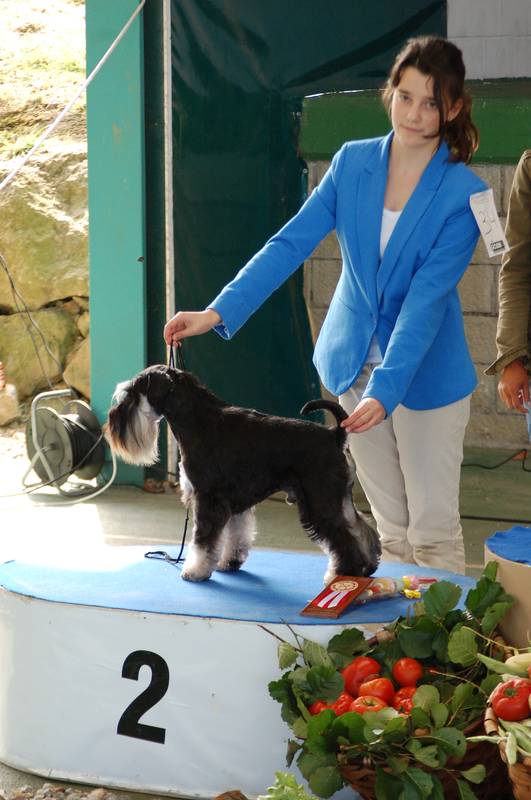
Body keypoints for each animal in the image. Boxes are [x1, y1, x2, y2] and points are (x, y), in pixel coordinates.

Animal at [105, 365, 381, 583]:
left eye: (132, 395)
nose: (110, 424)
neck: (197, 420)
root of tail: (335, 435)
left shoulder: (208, 499)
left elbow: (203, 540)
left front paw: (195, 571)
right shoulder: (233, 502)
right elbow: (236, 535)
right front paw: (228, 563)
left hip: (319, 502)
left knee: (343, 538)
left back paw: (343, 574)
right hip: (339, 499)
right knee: (361, 528)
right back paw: (368, 567)